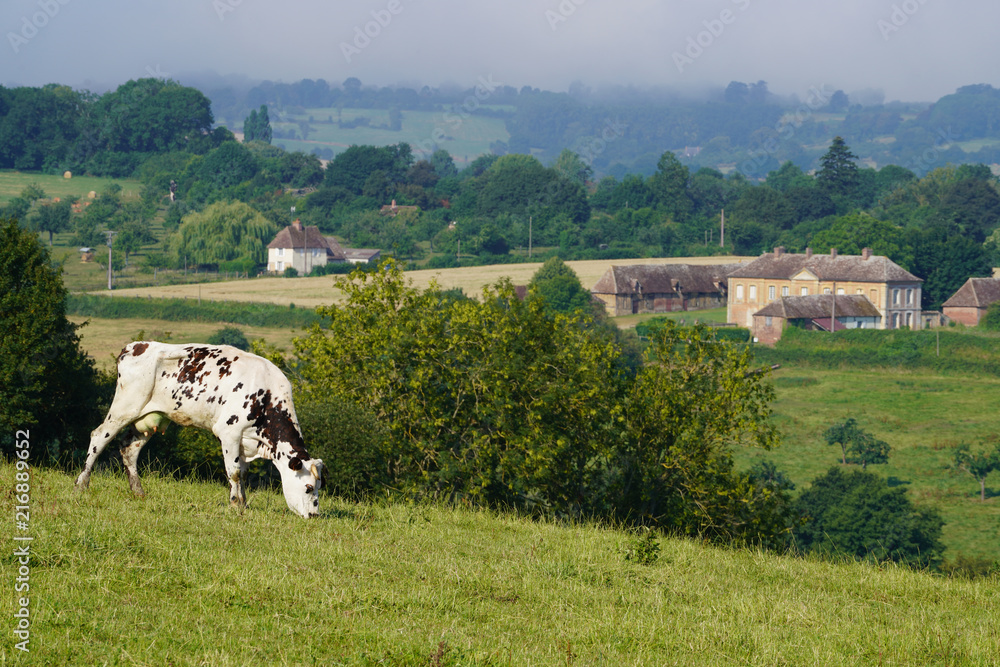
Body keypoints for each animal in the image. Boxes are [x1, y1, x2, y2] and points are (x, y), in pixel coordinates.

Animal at [75, 341, 324, 518]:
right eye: (308, 487)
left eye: (319, 487)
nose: (314, 515)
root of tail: (133, 346)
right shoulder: (229, 432)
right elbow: (233, 472)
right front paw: (234, 505)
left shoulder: (244, 441)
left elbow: (242, 474)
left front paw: (243, 503)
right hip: (125, 407)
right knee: (99, 436)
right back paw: (82, 483)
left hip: (147, 418)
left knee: (129, 449)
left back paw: (138, 492)